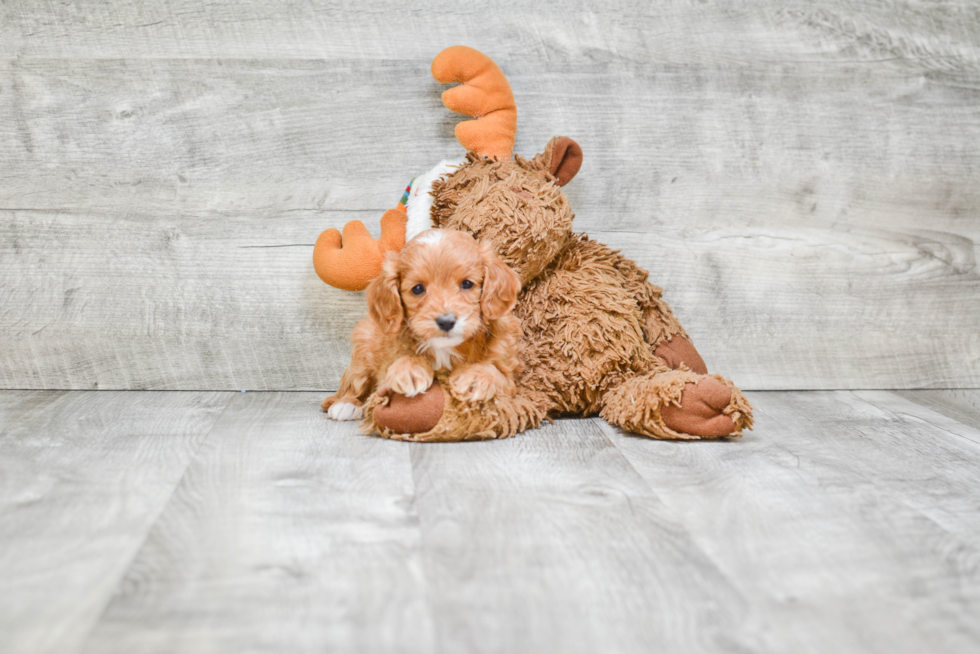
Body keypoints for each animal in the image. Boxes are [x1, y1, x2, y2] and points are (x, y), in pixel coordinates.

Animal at [322, 231, 520, 422]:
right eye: (417, 289)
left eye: (467, 284)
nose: (446, 321)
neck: (445, 349)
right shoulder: (387, 361)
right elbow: (398, 363)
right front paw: (409, 369)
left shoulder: (509, 375)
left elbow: (496, 372)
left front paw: (476, 377)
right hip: (363, 343)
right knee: (354, 383)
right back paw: (346, 404)